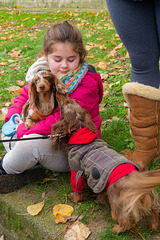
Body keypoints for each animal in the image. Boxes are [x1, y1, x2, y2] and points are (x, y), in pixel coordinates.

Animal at [50, 96, 160, 234]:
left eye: (64, 104)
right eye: (73, 101)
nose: (65, 96)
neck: (80, 129)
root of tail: (137, 179)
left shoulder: (76, 171)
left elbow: (77, 189)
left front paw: (75, 198)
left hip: (117, 202)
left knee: (125, 221)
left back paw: (116, 229)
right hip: (153, 197)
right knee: (156, 211)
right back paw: (154, 226)